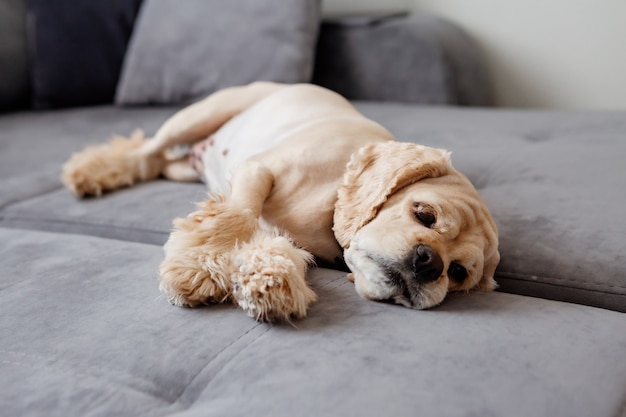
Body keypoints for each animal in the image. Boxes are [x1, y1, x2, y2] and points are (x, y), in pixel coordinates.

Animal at [62, 82, 498, 322]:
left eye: (459, 272)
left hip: (183, 167)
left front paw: (271, 287)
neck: (333, 200)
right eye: (424, 213)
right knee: (144, 149)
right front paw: (196, 273)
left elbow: (279, 251)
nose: (431, 263)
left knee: (155, 162)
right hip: (197, 116)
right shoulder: (257, 169)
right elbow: (235, 217)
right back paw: (88, 172)